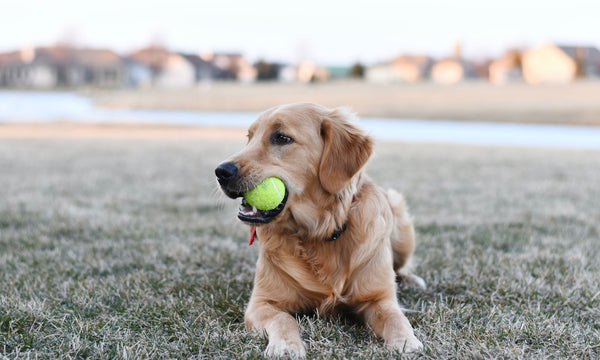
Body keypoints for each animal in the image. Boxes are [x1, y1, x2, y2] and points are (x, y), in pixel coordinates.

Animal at [213, 102, 424, 356]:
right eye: (250, 138)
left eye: (281, 138)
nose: (221, 171)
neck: (319, 232)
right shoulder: (261, 303)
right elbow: (283, 319)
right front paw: (287, 345)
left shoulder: (379, 298)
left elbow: (396, 318)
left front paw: (406, 341)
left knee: (401, 267)